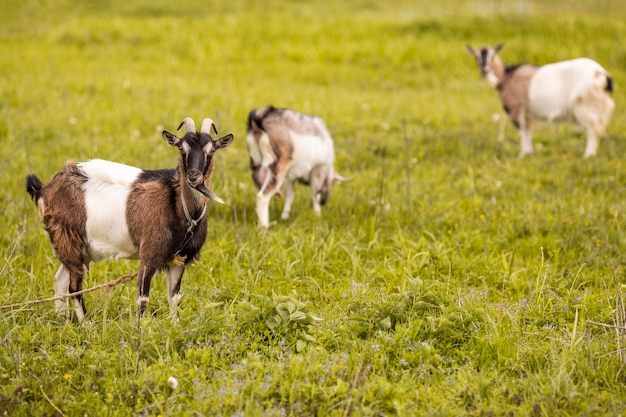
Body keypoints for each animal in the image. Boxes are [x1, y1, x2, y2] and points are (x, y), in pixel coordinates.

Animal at [25, 117, 234, 322]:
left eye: (210, 151)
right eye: (182, 149)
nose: (193, 176)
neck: (179, 206)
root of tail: (45, 189)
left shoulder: (179, 259)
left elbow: (174, 298)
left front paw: (174, 327)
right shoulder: (149, 254)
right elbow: (143, 299)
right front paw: (140, 330)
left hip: (75, 246)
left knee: (60, 280)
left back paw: (64, 322)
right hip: (68, 237)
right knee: (74, 286)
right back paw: (86, 325)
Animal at [466, 43, 612, 158]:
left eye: (492, 55)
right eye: (476, 56)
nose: (484, 68)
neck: (506, 77)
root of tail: (603, 75)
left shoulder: (516, 109)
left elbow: (522, 132)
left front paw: (523, 155)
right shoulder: (526, 114)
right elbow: (528, 132)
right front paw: (529, 153)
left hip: (584, 106)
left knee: (593, 130)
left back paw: (588, 155)